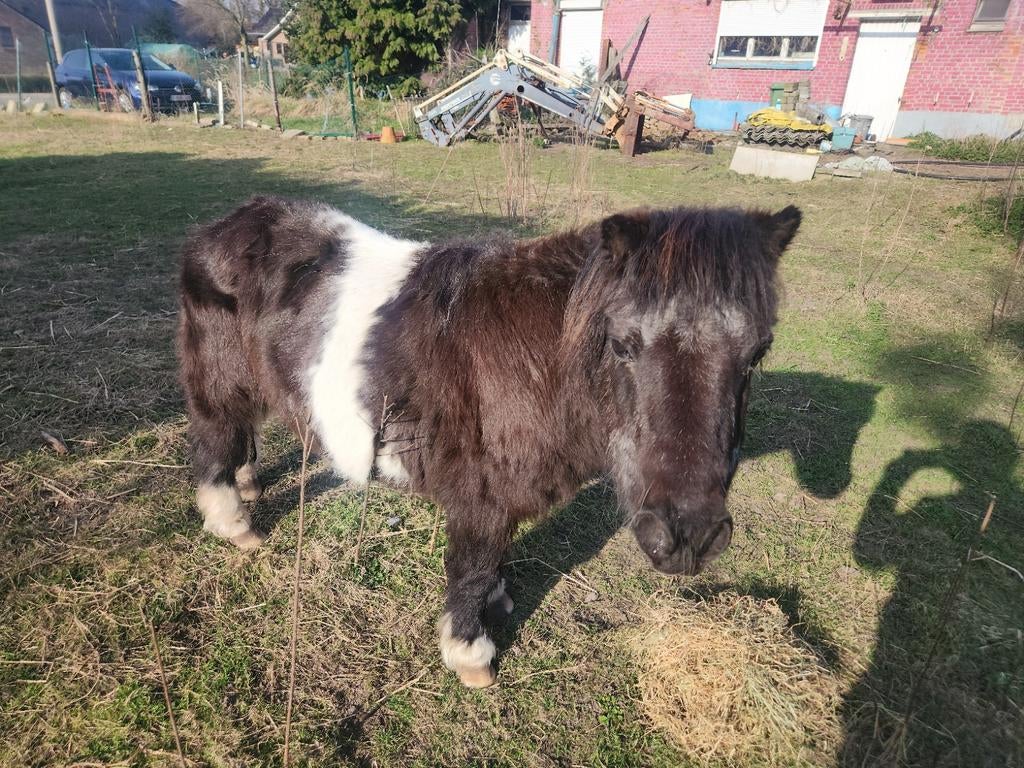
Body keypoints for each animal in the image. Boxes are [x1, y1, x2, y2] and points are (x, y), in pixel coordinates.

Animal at [176, 197, 800, 688]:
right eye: (624, 344)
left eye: (758, 353)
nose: (688, 538)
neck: (537, 362)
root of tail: (222, 226)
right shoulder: (479, 498)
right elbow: (471, 566)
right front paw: (471, 655)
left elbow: (494, 559)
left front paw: (498, 600)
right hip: (218, 379)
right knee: (213, 439)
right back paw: (234, 522)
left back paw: (249, 485)